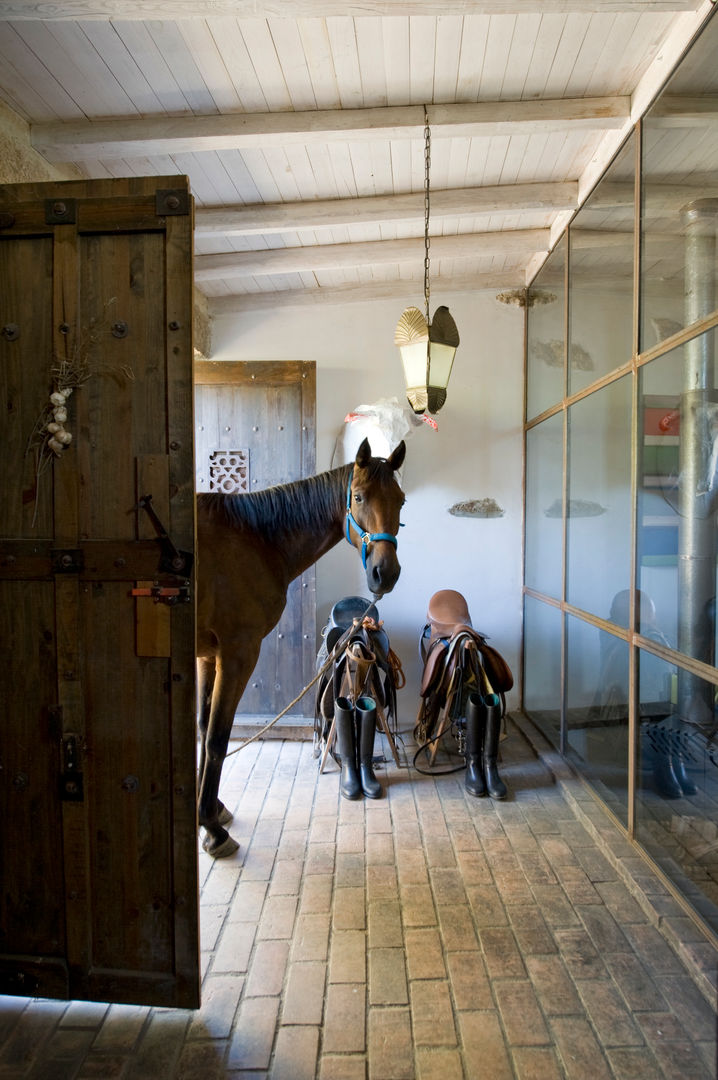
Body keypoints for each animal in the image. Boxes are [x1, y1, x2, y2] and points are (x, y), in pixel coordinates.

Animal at [196, 434, 405, 855]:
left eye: (402, 500)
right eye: (358, 496)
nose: (385, 573)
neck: (255, 539)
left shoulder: (208, 657)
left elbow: (202, 730)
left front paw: (208, 811)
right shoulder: (236, 653)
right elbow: (216, 738)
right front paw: (211, 827)